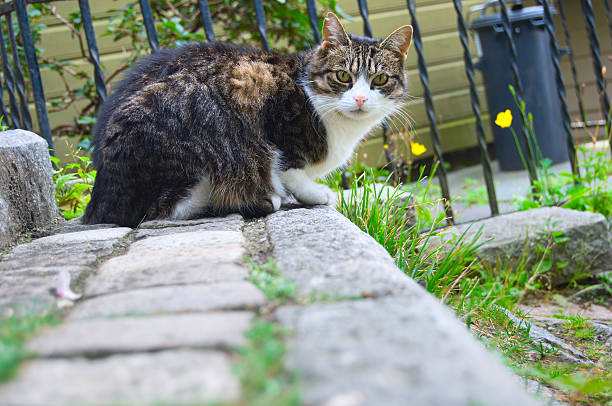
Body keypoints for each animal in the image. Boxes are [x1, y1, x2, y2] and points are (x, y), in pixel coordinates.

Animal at [82, 12, 412, 227]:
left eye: (380, 80)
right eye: (343, 76)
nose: (360, 99)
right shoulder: (269, 109)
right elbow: (289, 168)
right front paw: (316, 193)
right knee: (165, 209)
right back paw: (261, 199)